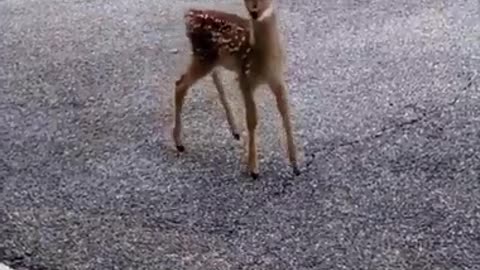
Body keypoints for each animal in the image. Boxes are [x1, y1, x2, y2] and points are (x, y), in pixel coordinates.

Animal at [172, 0, 300, 179]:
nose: (254, 11)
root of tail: (189, 14)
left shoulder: (278, 79)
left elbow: (286, 112)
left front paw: (295, 165)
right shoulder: (245, 79)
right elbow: (252, 119)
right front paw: (253, 168)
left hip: (211, 59)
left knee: (212, 75)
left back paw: (235, 130)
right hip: (203, 56)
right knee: (180, 84)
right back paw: (179, 143)